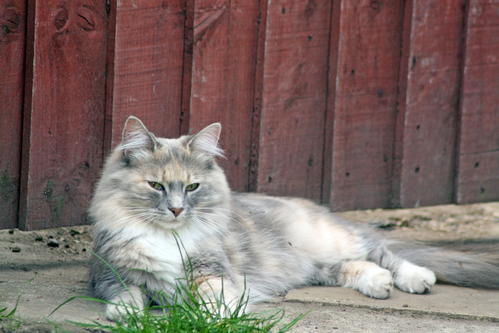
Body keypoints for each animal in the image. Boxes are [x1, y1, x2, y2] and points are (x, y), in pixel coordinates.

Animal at [88, 116, 498, 320]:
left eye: (192, 187)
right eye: (156, 185)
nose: (176, 209)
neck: (168, 237)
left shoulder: (213, 272)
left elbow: (212, 297)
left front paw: (216, 314)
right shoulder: (109, 276)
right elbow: (127, 294)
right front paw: (126, 315)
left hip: (329, 240)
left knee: (381, 251)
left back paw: (416, 278)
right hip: (315, 264)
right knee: (356, 266)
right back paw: (378, 284)